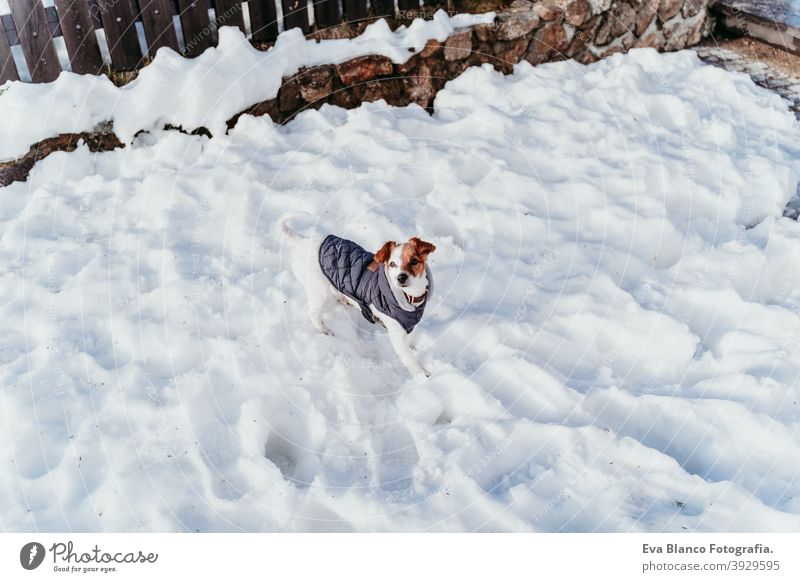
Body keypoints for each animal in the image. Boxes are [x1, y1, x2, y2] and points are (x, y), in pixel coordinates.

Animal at [282, 219, 438, 378]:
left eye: (414, 261)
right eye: (392, 264)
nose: (401, 278)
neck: (410, 297)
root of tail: (303, 241)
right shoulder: (396, 335)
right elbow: (408, 358)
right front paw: (422, 375)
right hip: (319, 291)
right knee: (312, 311)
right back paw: (322, 328)